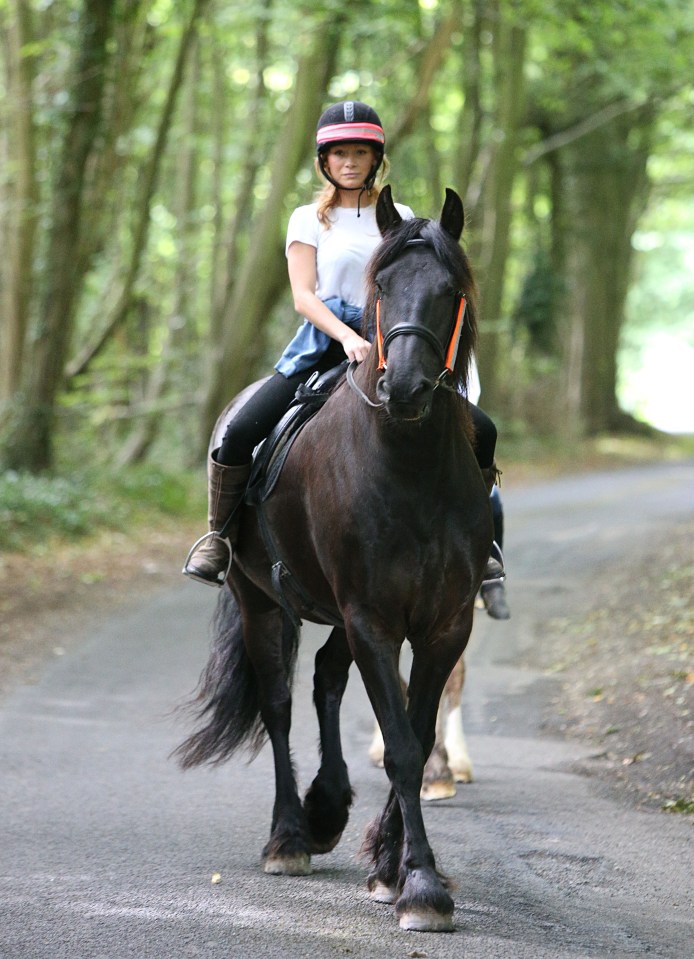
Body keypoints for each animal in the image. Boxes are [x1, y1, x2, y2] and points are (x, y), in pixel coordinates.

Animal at [177, 186, 498, 928]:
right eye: (381, 286)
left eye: (450, 290)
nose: (404, 387)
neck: (410, 467)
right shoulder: (373, 618)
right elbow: (401, 744)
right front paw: (421, 886)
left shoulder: (445, 622)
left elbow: (416, 726)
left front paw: (392, 865)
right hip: (262, 600)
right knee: (278, 702)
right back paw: (290, 836)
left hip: (337, 612)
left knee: (325, 677)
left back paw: (326, 807)